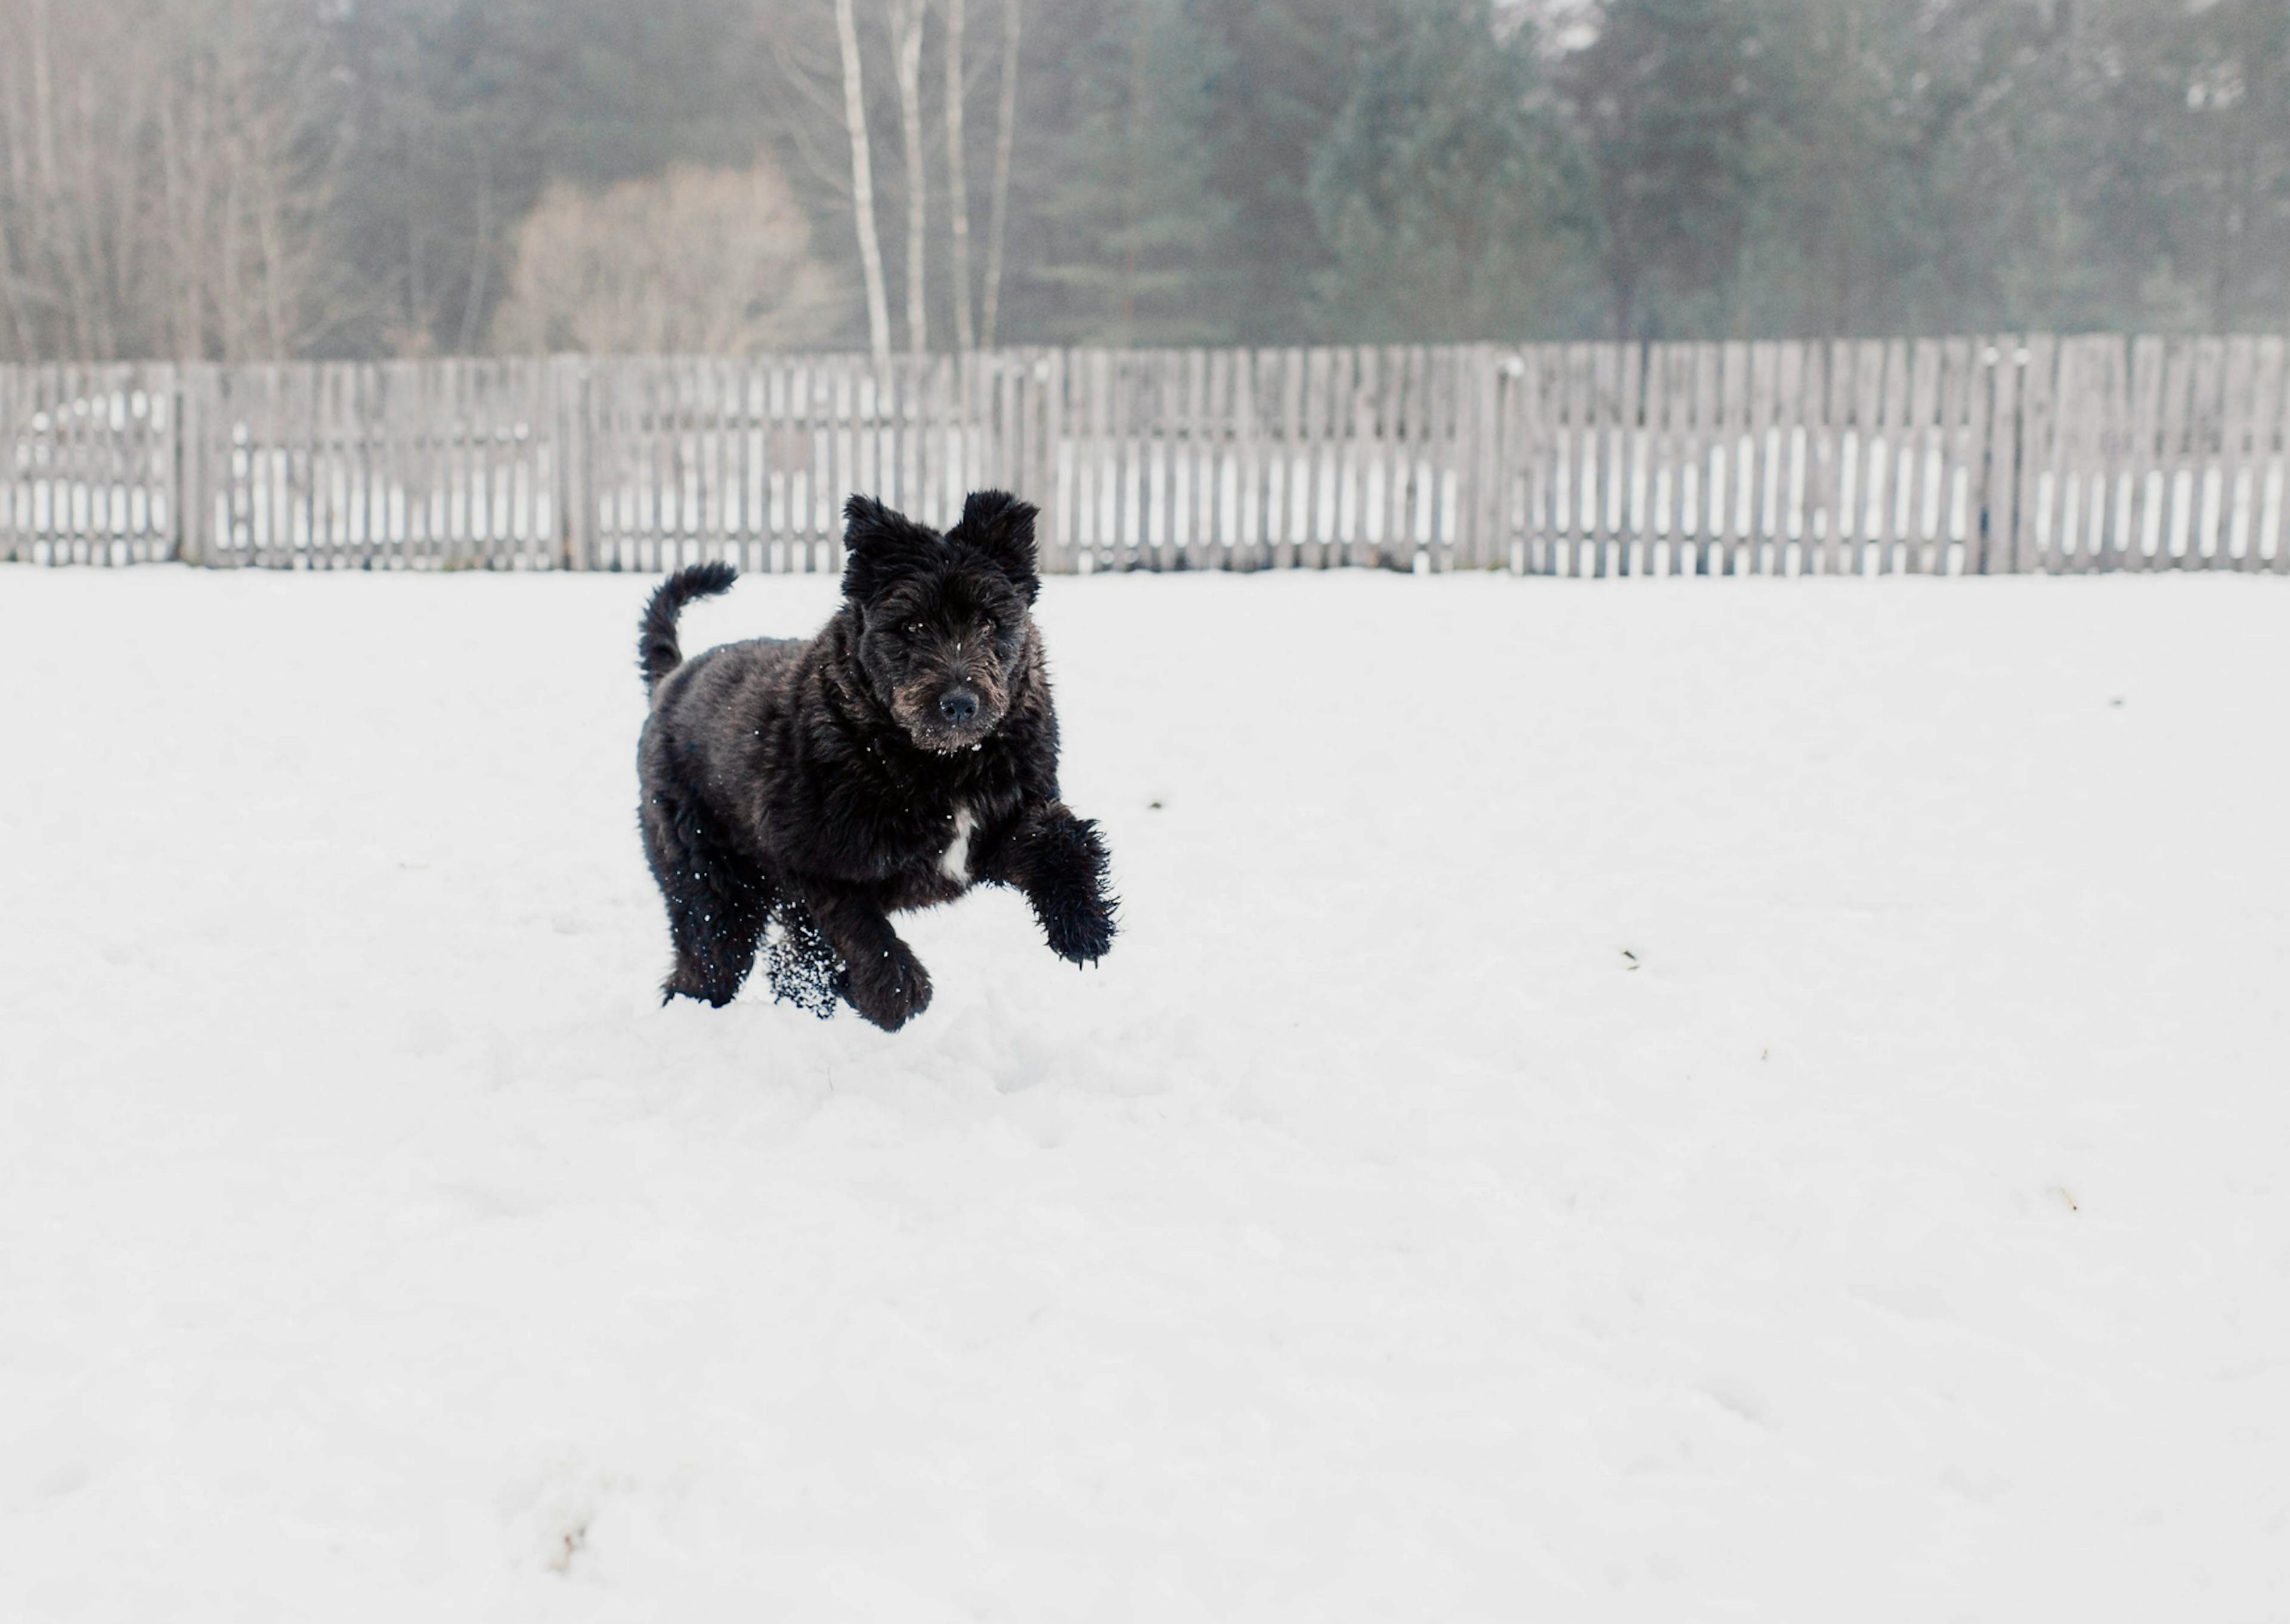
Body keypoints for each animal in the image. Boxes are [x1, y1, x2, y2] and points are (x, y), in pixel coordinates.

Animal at [636, 488, 1117, 1030]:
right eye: (911, 624)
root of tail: (670, 682)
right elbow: (858, 927)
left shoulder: (1000, 826)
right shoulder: (809, 860)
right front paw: (894, 996)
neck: (941, 764)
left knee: (786, 964)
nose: (959, 703)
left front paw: (1083, 924)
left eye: (989, 620)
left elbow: (1060, 836)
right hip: (713, 886)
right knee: (708, 963)